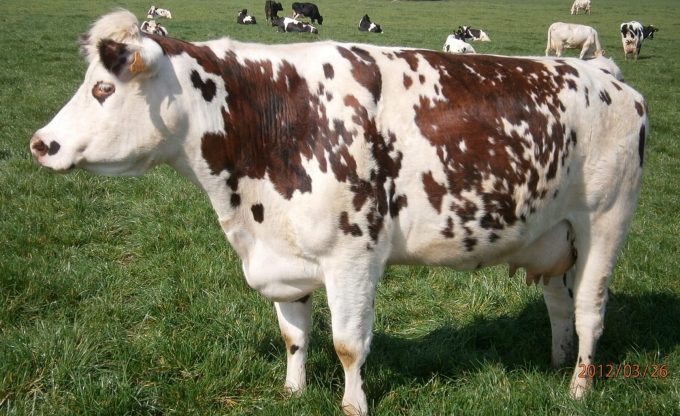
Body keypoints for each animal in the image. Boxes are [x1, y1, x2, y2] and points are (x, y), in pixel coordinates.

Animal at [30, 10, 648, 416]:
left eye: (104, 88)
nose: (41, 143)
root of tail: (605, 75)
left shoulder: (352, 255)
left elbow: (349, 344)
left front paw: (353, 405)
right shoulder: (286, 251)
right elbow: (294, 334)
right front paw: (293, 391)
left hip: (606, 223)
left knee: (590, 310)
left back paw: (579, 388)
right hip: (555, 236)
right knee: (559, 305)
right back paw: (556, 363)